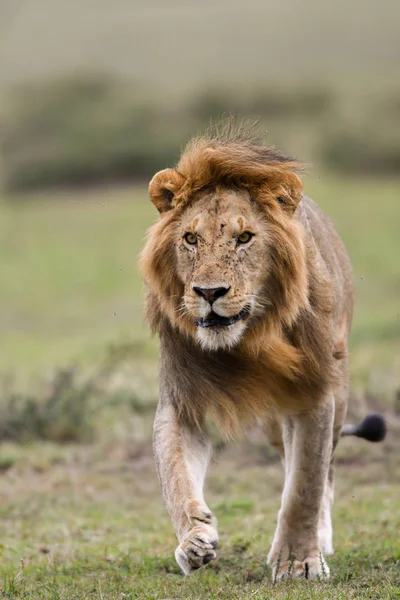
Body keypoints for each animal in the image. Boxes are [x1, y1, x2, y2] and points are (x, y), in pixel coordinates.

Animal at [140, 123, 388, 580]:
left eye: (244, 238)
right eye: (190, 238)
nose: (209, 293)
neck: (248, 339)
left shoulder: (314, 393)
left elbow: (305, 486)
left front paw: (298, 561)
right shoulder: (183, 398)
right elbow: (175, 475)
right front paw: (193, 541)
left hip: (338, 392)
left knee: (323, 471)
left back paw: (318, 538)